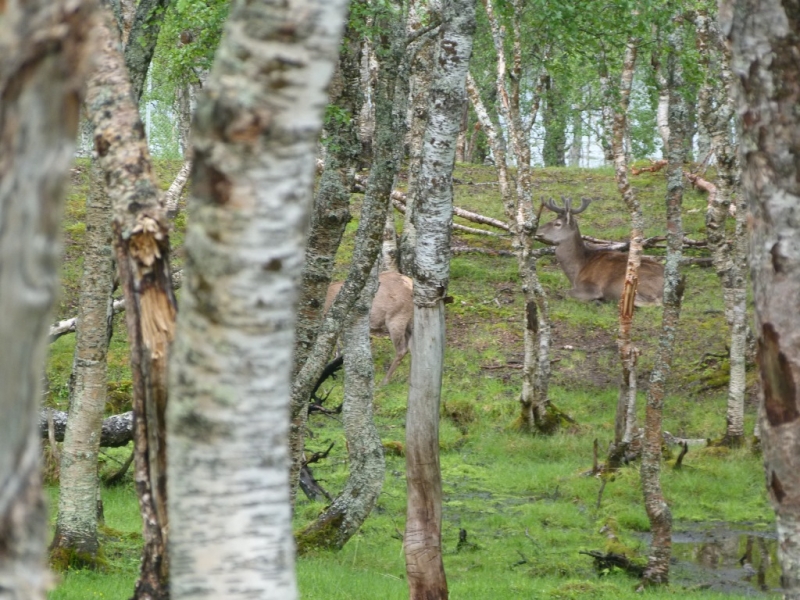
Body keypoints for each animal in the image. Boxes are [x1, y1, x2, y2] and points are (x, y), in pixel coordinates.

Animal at [536, 198, 664, 308]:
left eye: (557, 224)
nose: (537, 231)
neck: (577, 271)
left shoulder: (591, 287)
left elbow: (565, 293)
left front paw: (597, 300)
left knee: (655, 302)